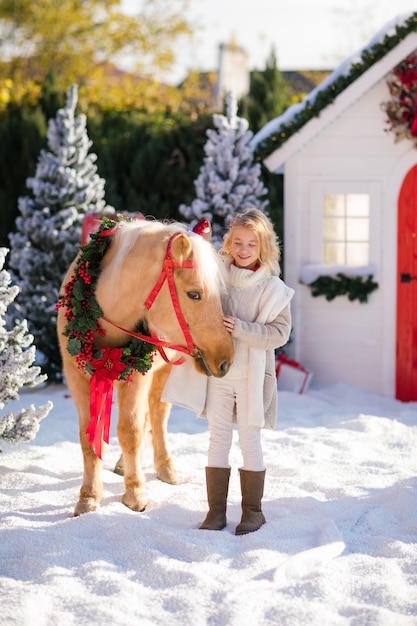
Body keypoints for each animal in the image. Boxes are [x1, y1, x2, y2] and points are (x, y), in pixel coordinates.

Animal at [57, 217, 234, 516]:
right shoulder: (77, 377)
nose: (226, 360)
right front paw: (89, 497)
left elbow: (131, 432)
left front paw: (135, 494)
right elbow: (87, 438)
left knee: (157, 417)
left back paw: (164, 467)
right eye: (194, 294)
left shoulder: (137, 378)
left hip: (162, 372)